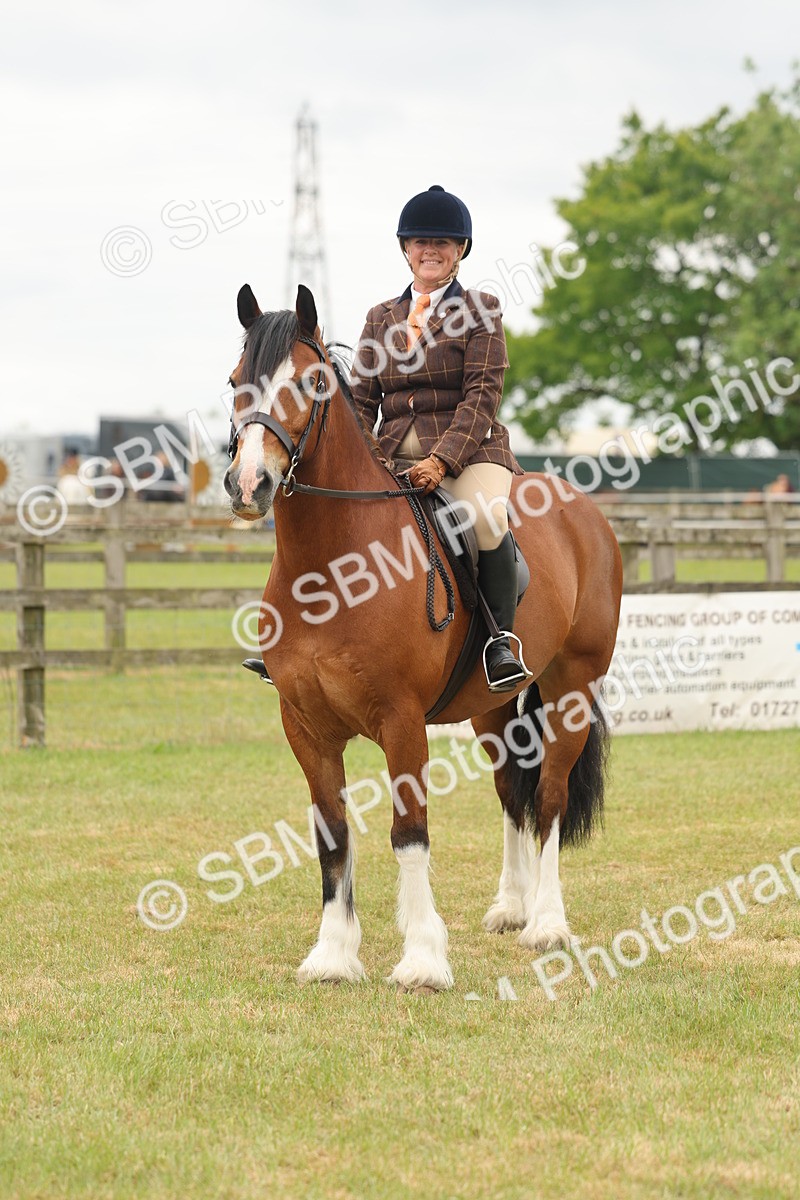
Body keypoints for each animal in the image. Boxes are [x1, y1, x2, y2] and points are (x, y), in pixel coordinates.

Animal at [223, 283, 623, 992]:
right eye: (235, 380)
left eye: (311, 381)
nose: (250, 486)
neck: (334, 570)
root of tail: (585, 511)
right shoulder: (305, 725)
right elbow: (332, 833)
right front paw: (333, 955)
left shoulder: (401, 719)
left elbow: (409, 832)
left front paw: (423, 961)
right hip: (494, 706)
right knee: (511, 793)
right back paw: (512, 909)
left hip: (572, 688)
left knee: (548, 796)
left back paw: (548, 924)